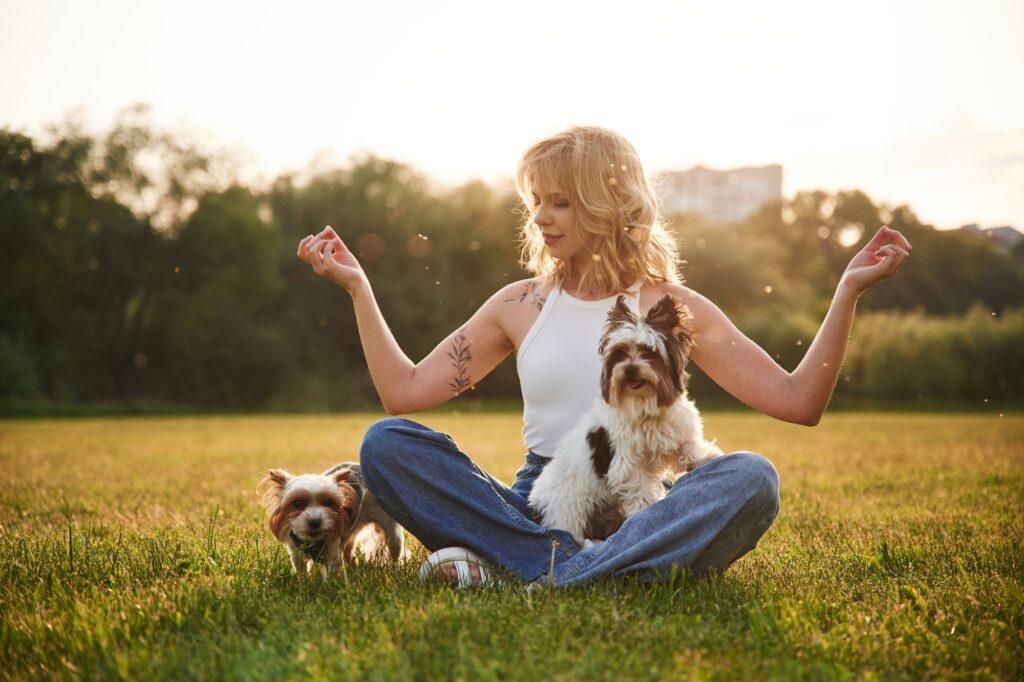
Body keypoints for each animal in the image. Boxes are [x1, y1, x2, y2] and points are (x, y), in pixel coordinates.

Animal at [256, 458, 403, 577]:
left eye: (328, 502)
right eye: (297, 503)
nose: (315, 522)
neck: (313, 541)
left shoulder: (332, 550)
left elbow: (330, 573)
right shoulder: (295, 552)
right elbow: (301, 571)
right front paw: (303, 584)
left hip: (392, 531)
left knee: (395, 552)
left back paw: (393, 572)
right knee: (348, 551)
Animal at [528, 292, 720, 540]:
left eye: (649, 352)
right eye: (619, 354)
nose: (629, 369)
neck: (644, 404)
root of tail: (535, 503)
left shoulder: (677, 431)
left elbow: (688, 447)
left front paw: (708, 457)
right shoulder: (628, 463)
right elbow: (639, 487)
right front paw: (646, 507)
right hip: (567, 512)